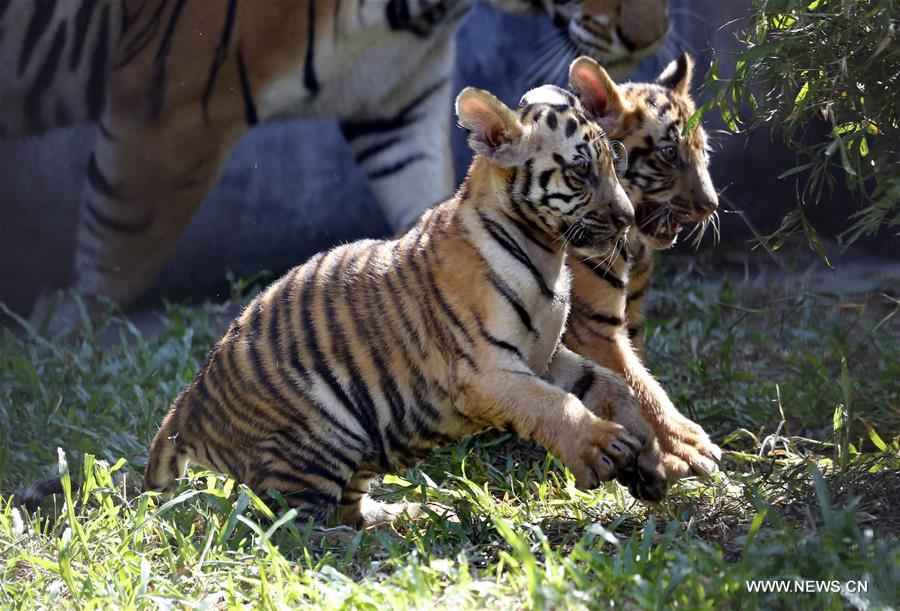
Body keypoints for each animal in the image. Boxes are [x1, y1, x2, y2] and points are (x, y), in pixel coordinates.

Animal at [0, 2, 668, 320]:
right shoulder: (171, 99)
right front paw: (70, 326)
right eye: (579, 172)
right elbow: (117, 240)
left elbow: (421, 199)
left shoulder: (400, 96)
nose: (654, 33)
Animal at [568, 52, 720, 486]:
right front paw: (690, 446)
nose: (712, 205)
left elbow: (641, 381)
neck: (634, 247)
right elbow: (641, 387)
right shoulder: (597, 329)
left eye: (703, 151)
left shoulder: (631, 321)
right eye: (668, 154)